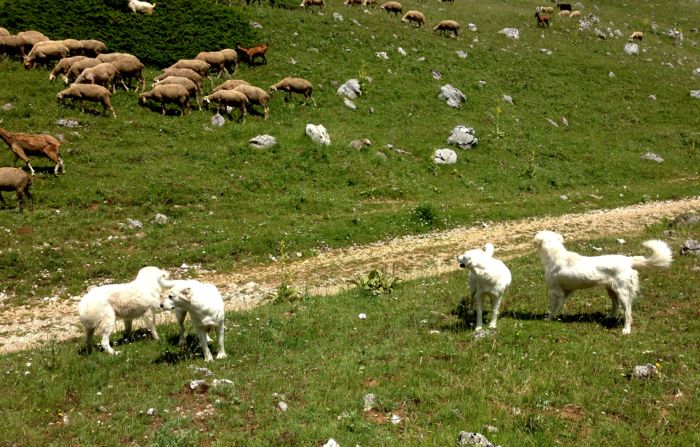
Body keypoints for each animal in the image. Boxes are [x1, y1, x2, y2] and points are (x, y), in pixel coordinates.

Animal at [536, 233, 672, 334]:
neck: (556, 255)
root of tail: (628, 260)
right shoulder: (564, 292)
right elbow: (558, 306)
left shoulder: (554, 291)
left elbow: (553, 307)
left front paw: (549, 319)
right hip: (611, 290)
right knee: (615, 306)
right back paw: (609, 317)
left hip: (622, 292)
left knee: (627, 312)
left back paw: (626, 330)